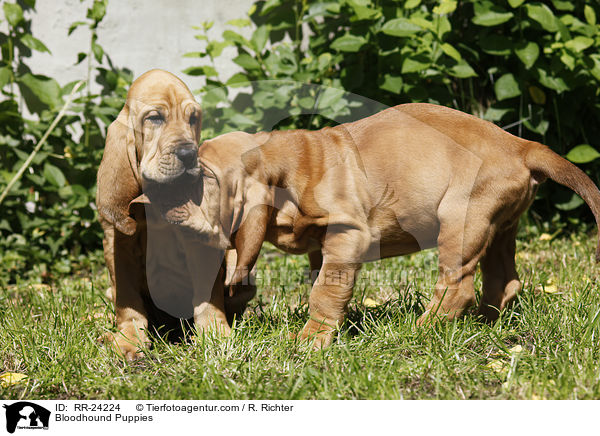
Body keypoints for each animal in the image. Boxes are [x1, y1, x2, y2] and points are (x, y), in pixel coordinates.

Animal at [95, 70, 253, 360]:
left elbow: (208, 296)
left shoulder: (200, 243)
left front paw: (215, 334)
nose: (189, 154)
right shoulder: (117, 243)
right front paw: (129, 338)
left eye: (193, 119)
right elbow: (128, 299)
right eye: (155, 118)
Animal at [156, 102, 600, 348]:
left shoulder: (348, 233)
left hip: (462, 218)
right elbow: (319, 281)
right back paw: (482, 323)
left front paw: (309, 341)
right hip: (500, 226)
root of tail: (522, 146)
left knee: (457, 286)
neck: (292, 167)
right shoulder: (320, 245)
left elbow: (324, 292)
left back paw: (423, 327)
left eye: (203, 179)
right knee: (503, 281)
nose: (159, 200)